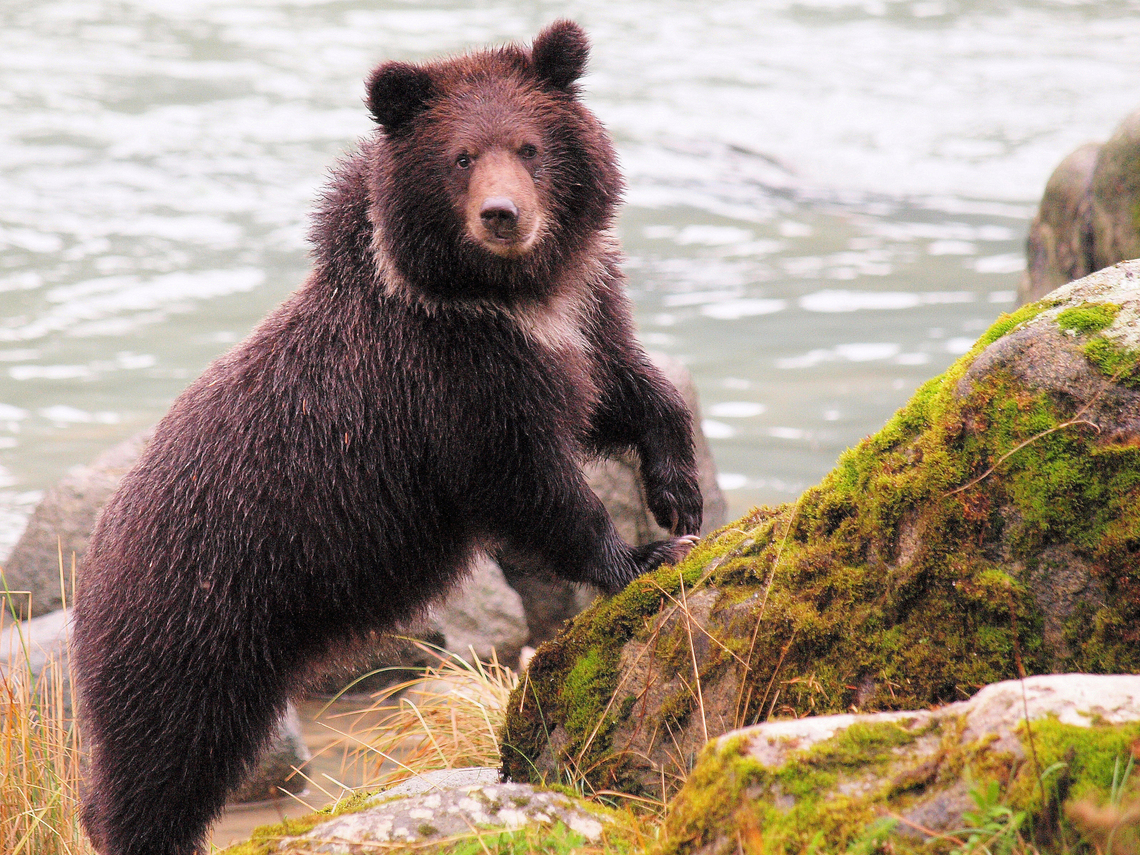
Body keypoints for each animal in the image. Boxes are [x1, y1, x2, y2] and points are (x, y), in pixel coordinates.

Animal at [71, 20, 702, 855]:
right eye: (461, 156)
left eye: (529, 146)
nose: (502, 214)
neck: (507, 297)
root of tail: (92, 563)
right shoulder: (451, 381)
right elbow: (531, 482)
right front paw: (638, 554)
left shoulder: (582, 314)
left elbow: (626, 388)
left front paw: (679, 495)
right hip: (193, 618)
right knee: (168, 751)